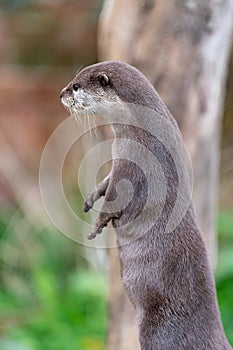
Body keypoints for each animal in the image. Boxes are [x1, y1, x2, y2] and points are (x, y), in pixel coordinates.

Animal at [59, 61, 231, 350]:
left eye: (76, 86)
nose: (61, 94)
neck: (139, 128)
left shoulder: (131, 163)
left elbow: (114, 202)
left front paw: (96, 228)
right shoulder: (117, 162)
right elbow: (106, 184)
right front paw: (91, 197)